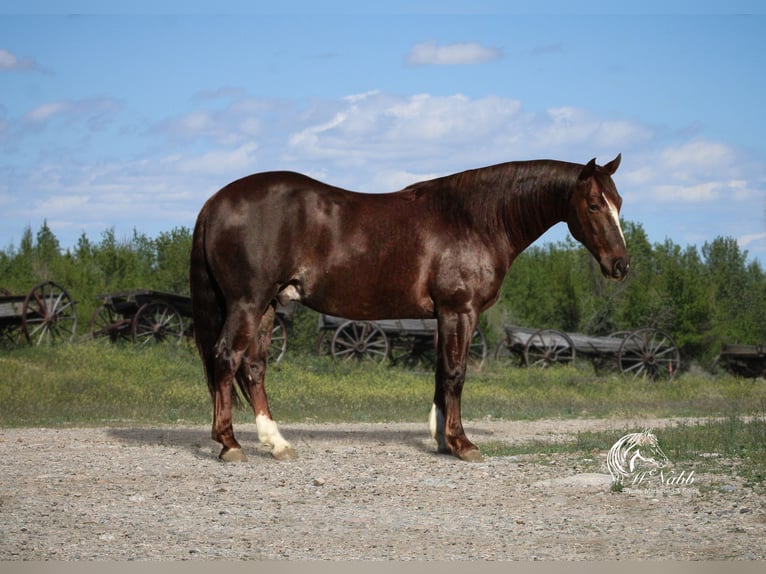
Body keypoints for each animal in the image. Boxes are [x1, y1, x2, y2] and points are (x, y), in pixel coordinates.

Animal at [192, 153, 632, 464]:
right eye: (594, 205)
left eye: (619, 202)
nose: (621, 266)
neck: (473, 218)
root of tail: (216, 201)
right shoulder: (459, 310)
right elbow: (456, 373)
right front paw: (462, 443)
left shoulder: (441, 315)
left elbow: (440, 372)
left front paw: (440, 439)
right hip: (248, 303)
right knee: (226, 358)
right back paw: (230, 444)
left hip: (267, 305)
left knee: (253, 368)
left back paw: (277, 443)